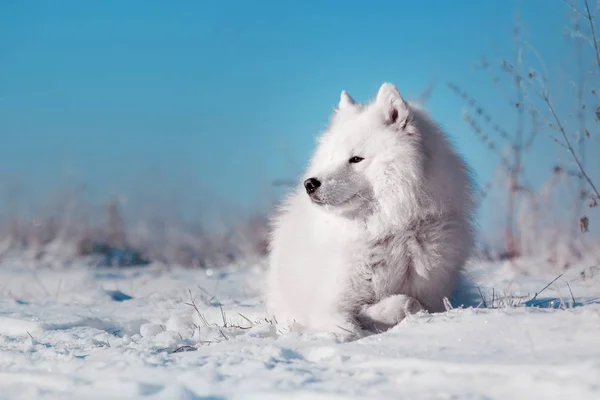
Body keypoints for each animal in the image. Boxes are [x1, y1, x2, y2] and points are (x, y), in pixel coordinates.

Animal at [264, 82, 476, 338]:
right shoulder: (328, 306)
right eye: (330, 158)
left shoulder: (433, 297)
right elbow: (352, 326)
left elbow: (410, 302)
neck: (389, 231)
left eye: (356, 159)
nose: (310, 184)